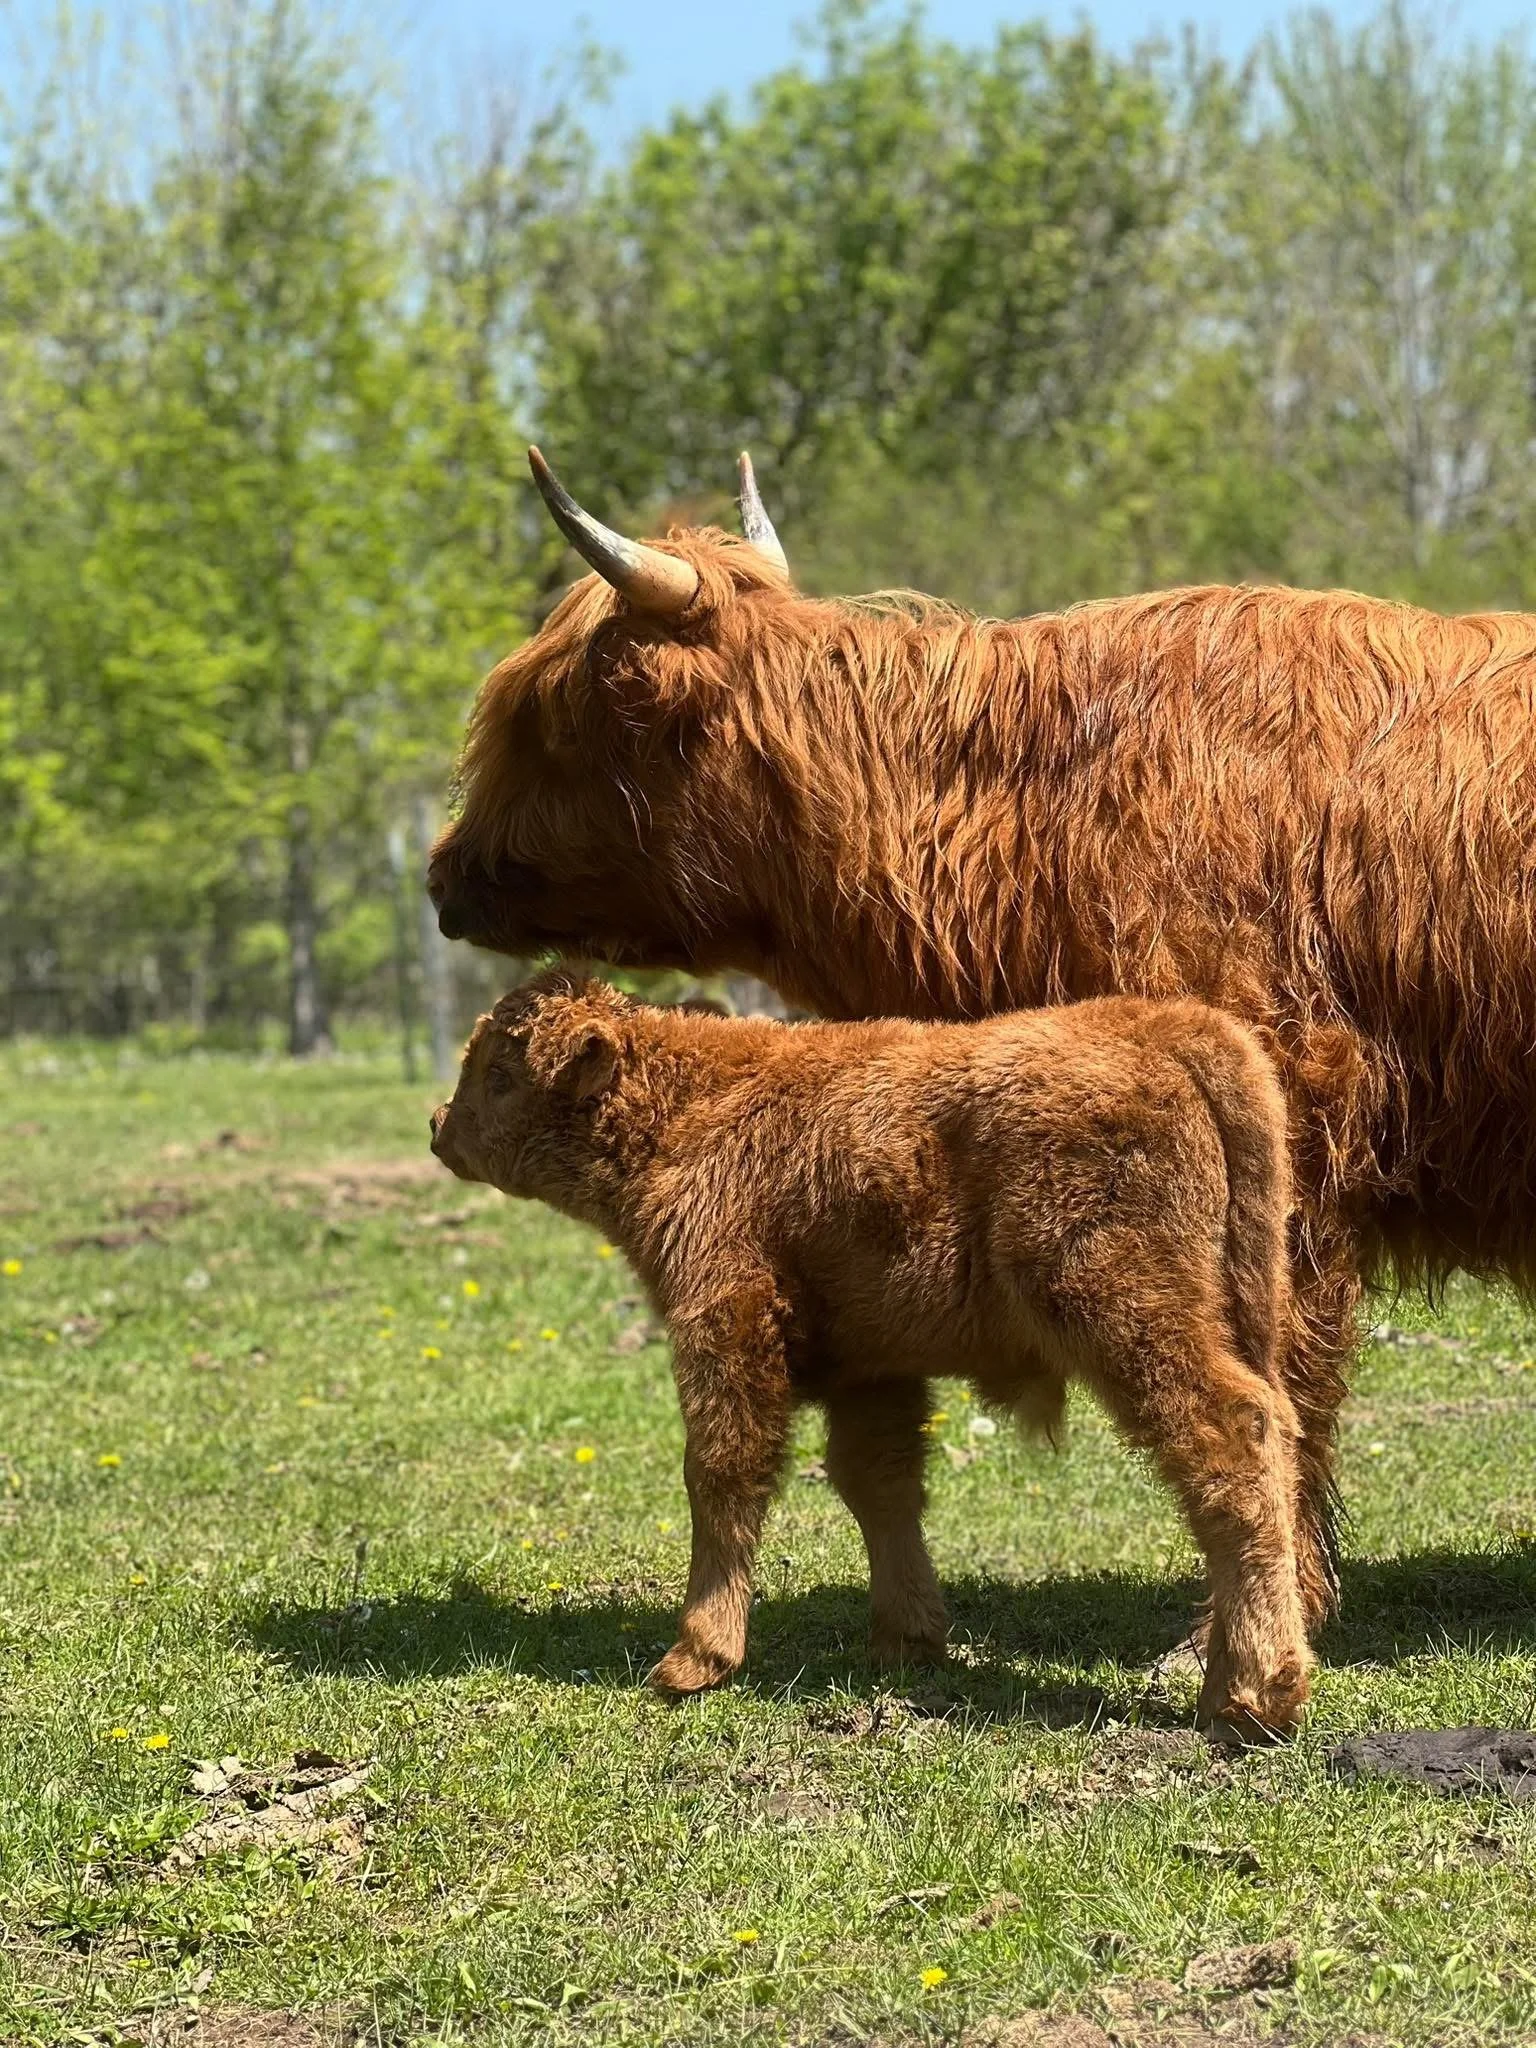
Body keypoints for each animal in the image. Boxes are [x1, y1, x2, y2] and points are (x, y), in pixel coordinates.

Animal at [430, 971, 1309, 1738]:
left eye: (500, 1072)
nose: (440, 1129)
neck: (689, 1107)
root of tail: (1168, 1027)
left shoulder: (725, 1323)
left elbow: (722, 1474)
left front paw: (694, 1661)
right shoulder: (873, 1367)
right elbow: (879, 1486)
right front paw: (907, 1640)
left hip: (1129, 1317)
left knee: (1229, 1440)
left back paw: (1253, 1697)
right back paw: (1229, 1682)